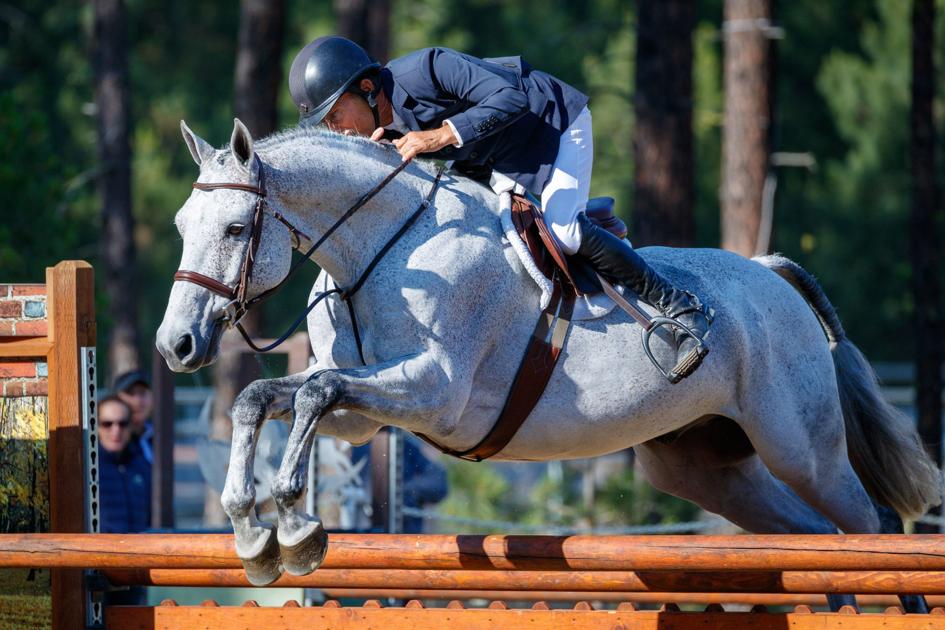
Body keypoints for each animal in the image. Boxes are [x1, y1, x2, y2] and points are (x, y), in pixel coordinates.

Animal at [156, 118, 941, 609]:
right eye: (180, 226)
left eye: (235, 228)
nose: (176, 345)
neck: (386, 249)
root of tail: (770, 272)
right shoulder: (365, 417)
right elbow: (268, 396)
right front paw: (251, 530)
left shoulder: (434, 392)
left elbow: (314, 389)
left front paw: (294, 526)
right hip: (703, 466)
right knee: (816, 542)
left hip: (800, 448)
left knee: (868, 528)